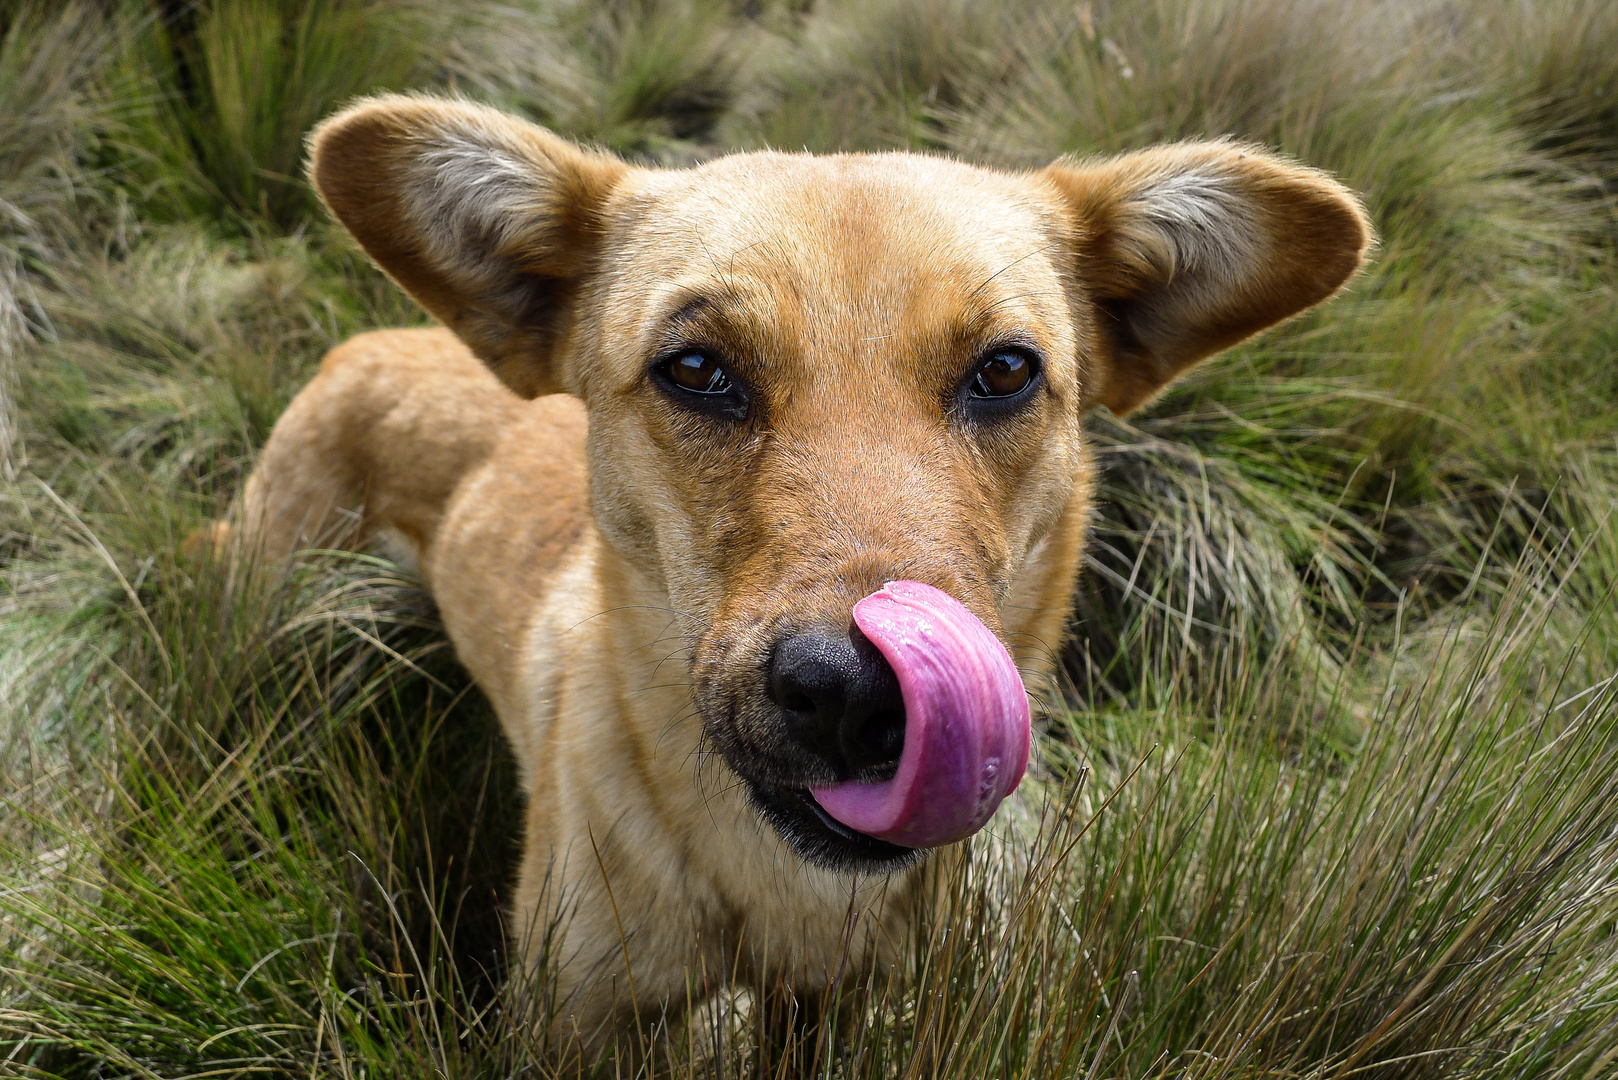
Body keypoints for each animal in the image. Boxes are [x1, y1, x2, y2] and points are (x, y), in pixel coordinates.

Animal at [221, 97, 1372, 1062]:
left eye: (1005, 370)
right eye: (696, 369)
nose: (862, 697)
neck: (777, 887)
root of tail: (373, 338)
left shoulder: (832, 1003)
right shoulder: (573, 1020)